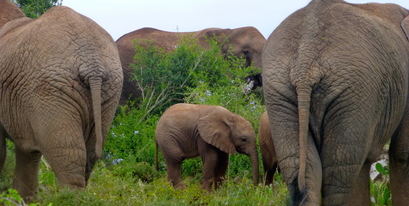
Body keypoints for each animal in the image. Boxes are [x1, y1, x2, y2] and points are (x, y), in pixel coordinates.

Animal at [0, 1, 122, 201]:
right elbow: (29, 153)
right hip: (110, 90)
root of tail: (93, 66)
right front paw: (23, 200)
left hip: (51, 90)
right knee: (89, 156)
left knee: (67, 154)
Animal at [262, 0, 408, 205]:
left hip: (279, 92)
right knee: (340, 171)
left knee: (302, 169)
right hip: (354, 90)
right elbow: (402, 153)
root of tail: (305, 64)